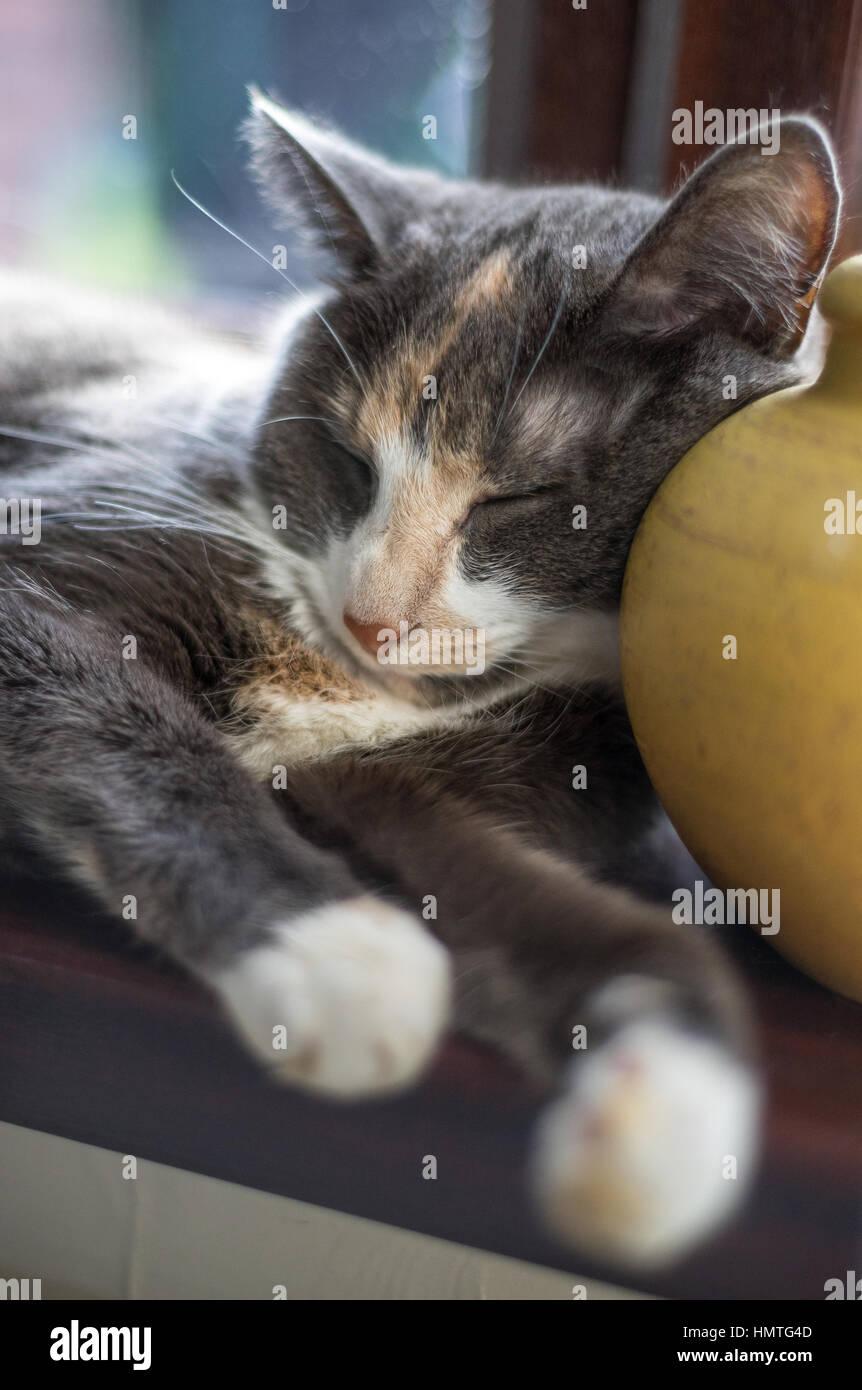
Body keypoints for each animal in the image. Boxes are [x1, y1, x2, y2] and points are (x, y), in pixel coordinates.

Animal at [0, 95, 839, 1273]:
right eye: (347, 458)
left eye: (520, 495)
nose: (372, 617)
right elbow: (117, 725)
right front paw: (340, 956)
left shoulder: (438, 774)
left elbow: (531, 897)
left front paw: (661, 1129)